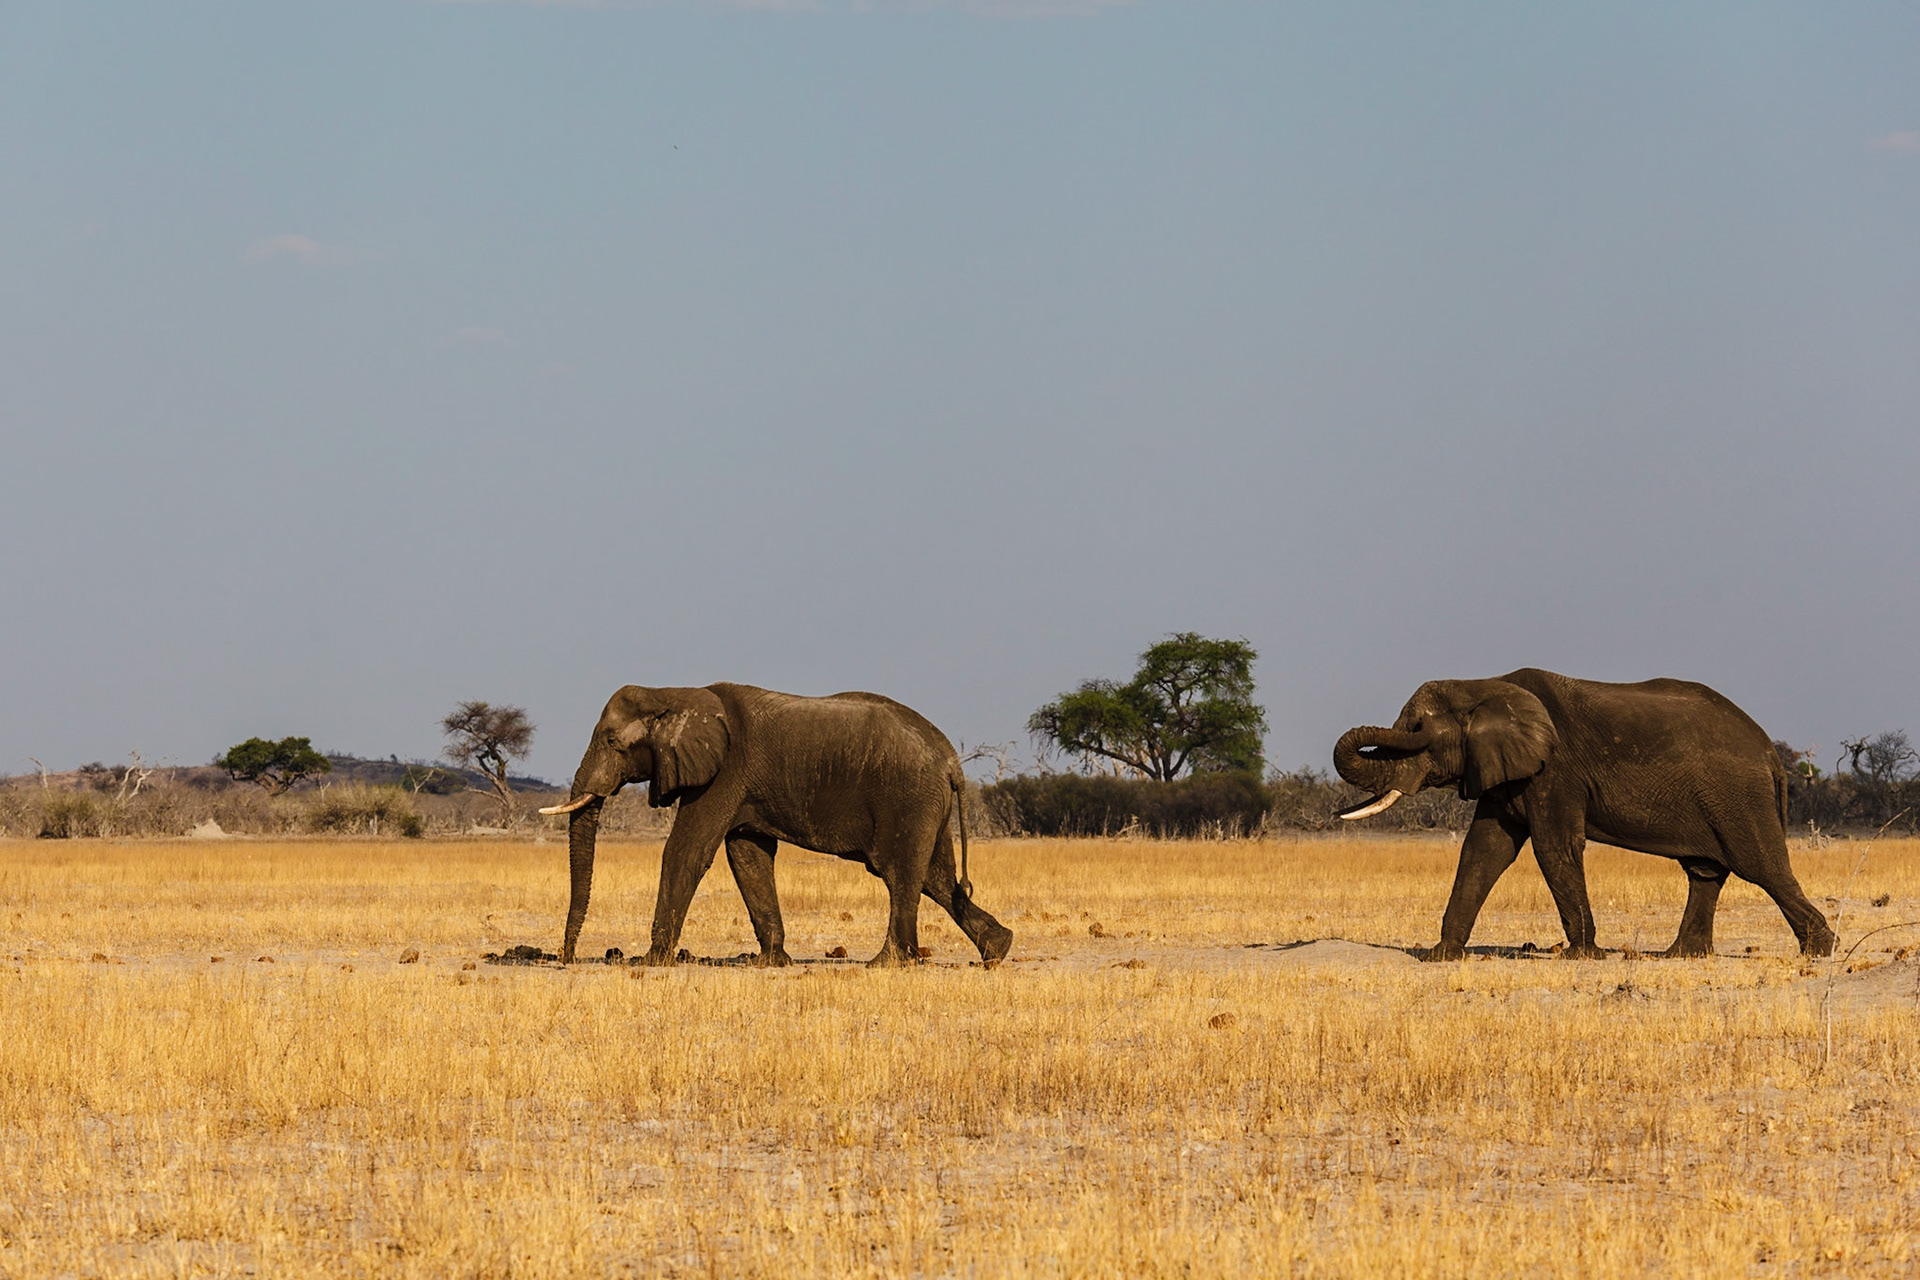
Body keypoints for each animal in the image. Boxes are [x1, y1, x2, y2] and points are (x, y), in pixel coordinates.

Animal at [539, 683, 1014, 969]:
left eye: (611, 741)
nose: (568, 958)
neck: (675, 692)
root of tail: (951, 760)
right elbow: (748, 856)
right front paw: (770, 962)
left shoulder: (725, 772)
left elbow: (687, 851)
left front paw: (649, 962)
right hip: (926, 803)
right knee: (938, 877)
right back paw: (997, 949)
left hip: (908, 797)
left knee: (898, 873)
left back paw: (885, 963)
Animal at [1332, 669, 1834, 961]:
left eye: (1418, 731)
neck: (1485, 684)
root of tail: (1770, 752)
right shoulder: (1506, 768)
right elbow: (1484, 849)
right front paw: (1440, 956)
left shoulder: (1555, 770)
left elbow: (1553, 846)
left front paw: (1583, 956)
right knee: (1706, 872)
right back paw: (1681, 956)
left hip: (1737, 796)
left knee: (1761, 866)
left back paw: (1820, 950)